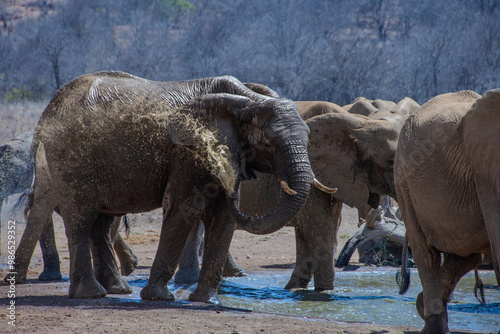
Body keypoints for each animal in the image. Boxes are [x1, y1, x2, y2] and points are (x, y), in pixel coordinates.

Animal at [4, 72, 332, 304]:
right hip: (71, 156)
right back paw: (92, 294)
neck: (246, 100)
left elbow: (223, 218)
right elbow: (185, 208)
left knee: (102, 222)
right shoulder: (187, 151)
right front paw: (160, 298)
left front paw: (205, 300)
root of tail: (48, 109)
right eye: (268, 144)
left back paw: (118, 290)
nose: (236, 186)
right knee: (82, 218)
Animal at [394, 89, 500, 334]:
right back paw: (434, 323)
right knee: (426, 254)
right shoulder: (486, 173)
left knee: (467, 255)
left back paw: (422, 304)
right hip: (404, 180)